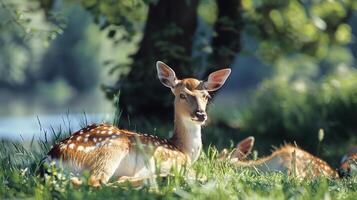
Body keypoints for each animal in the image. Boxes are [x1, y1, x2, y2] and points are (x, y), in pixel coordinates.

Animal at [42, 60, 231, 186]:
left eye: (206, 96)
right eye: (182, 95)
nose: (200, 114)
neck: (184, 150)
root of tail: (52, 157)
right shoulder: (162, 158)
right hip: (112, 148)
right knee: (96, 182)